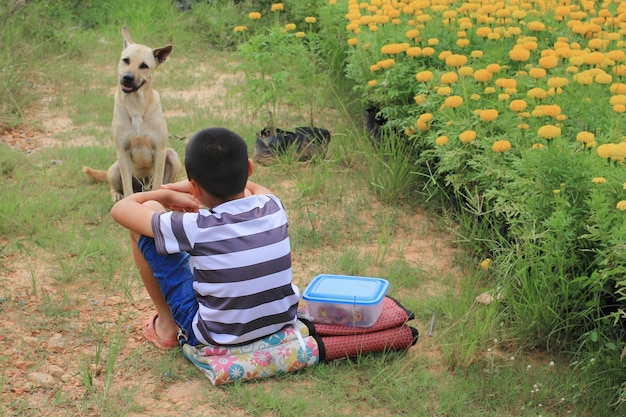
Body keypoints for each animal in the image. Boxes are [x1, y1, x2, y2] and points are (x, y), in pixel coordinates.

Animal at [81, 26, 179, 202]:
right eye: (126, 60)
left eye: (144, 66)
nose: (127, 78)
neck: (136, 106)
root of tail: (143, 187)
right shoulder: (122, 151)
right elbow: (127, 187)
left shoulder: (160, 151)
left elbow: (157, 184)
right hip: (115, 168)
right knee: (114, 184)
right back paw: (116, 195)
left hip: (173, 156)